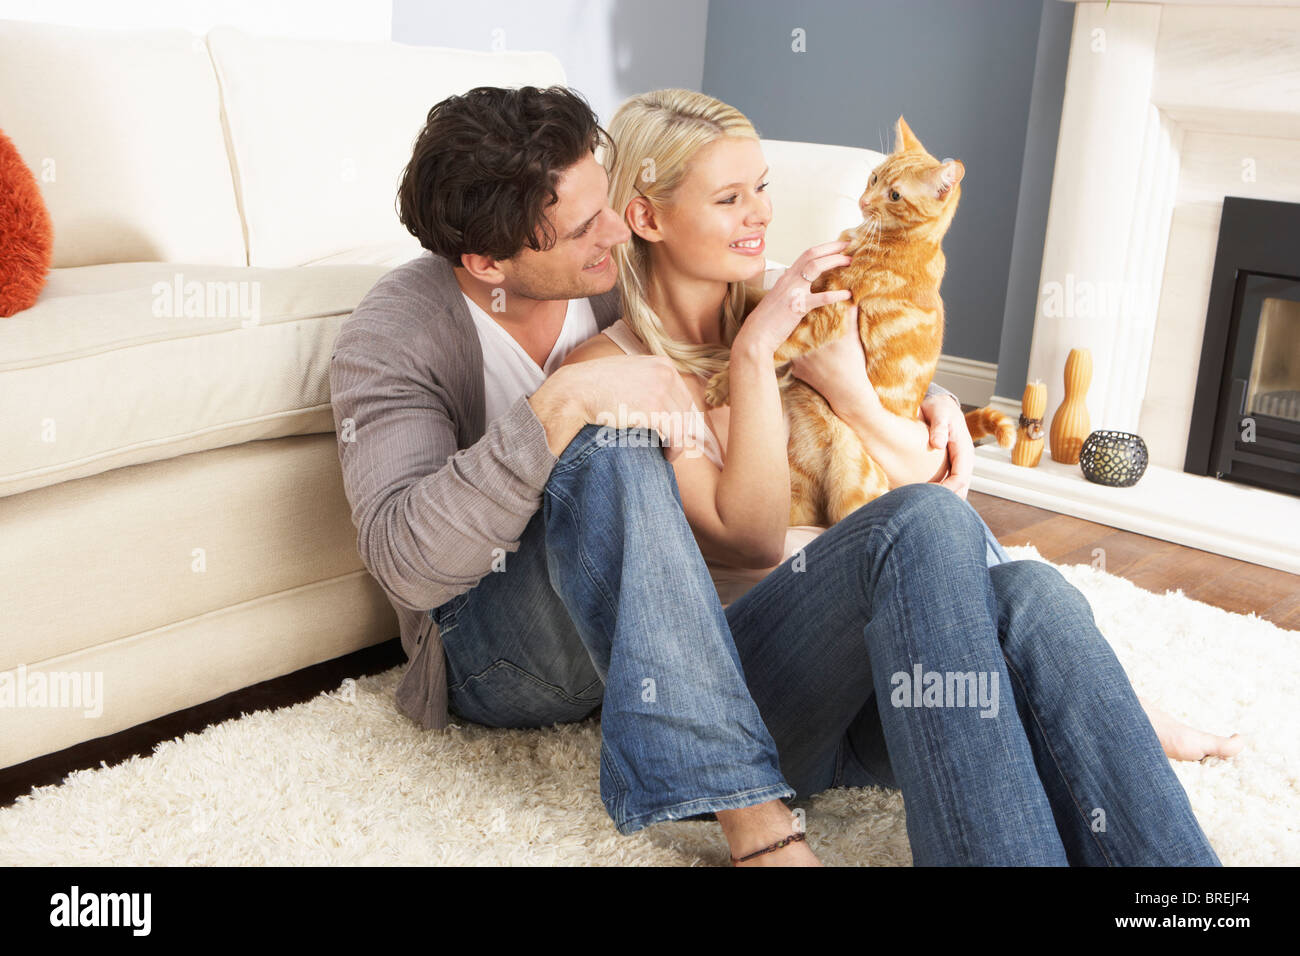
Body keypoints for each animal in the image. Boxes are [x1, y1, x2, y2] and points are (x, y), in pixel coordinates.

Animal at [712, 117, 1013, 530]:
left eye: (896, 195)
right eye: (873, 178)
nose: (864, 202)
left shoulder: (824, 314)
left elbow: (776, 340)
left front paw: (721, 384)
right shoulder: (805, 287)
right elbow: (759, 299)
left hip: (853, 488)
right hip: (796, 490)